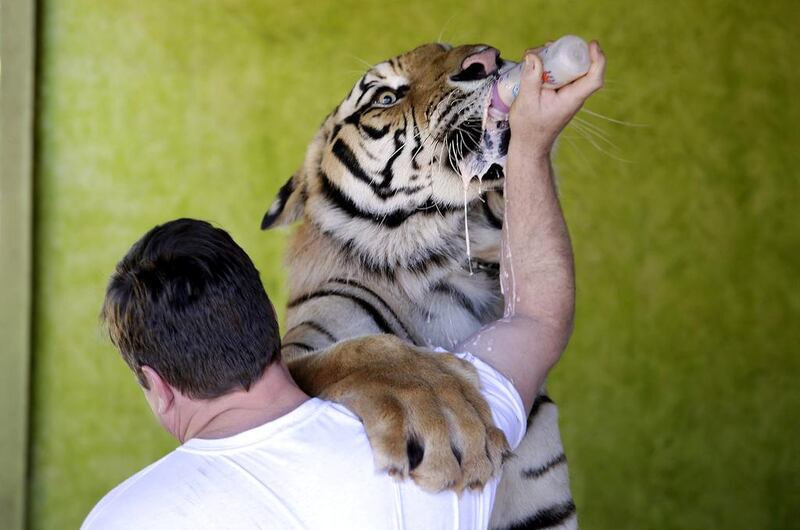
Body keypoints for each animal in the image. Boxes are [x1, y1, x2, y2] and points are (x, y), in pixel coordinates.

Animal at [260, 42, 576, 528]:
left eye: (445, 48)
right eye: (386, 98)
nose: (486, 59)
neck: (445, 258)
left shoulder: (544, 513)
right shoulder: (293, 356)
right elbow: (362, 354)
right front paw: (443, 414)